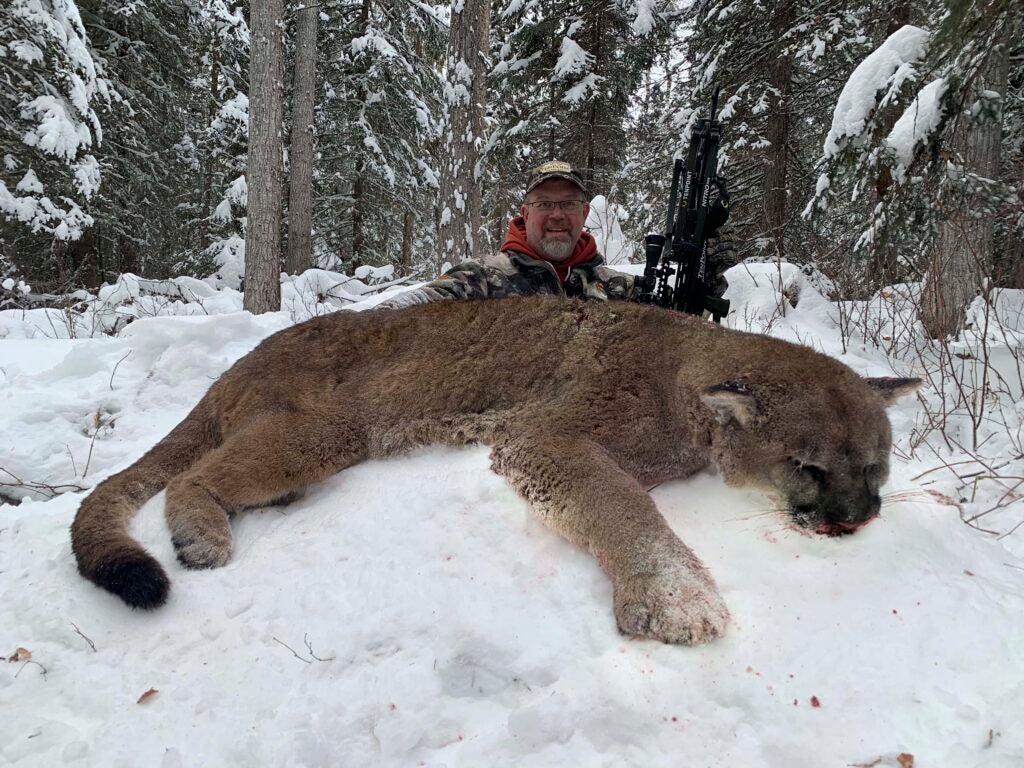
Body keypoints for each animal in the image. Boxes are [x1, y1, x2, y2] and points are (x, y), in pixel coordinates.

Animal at [72, 296, 921, 647]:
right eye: (809, 467)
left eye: (876, 467)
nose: (857, 519)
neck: (684, 373)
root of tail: (244, 356)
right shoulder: (546, 434)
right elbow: (619, 502)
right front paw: (676, 599)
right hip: (328, 427)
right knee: (189, 476)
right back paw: (201, 533)